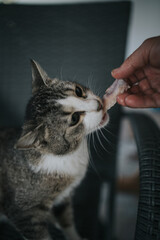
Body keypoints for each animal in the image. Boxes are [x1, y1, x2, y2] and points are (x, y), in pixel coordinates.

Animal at [0, 60, 109, 240]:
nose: (99, 105)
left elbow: (67, 219)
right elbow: (40, 233)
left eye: (78, 91)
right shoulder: (23, 213)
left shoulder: (64, 196)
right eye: (74, 119)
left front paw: (74, 236)